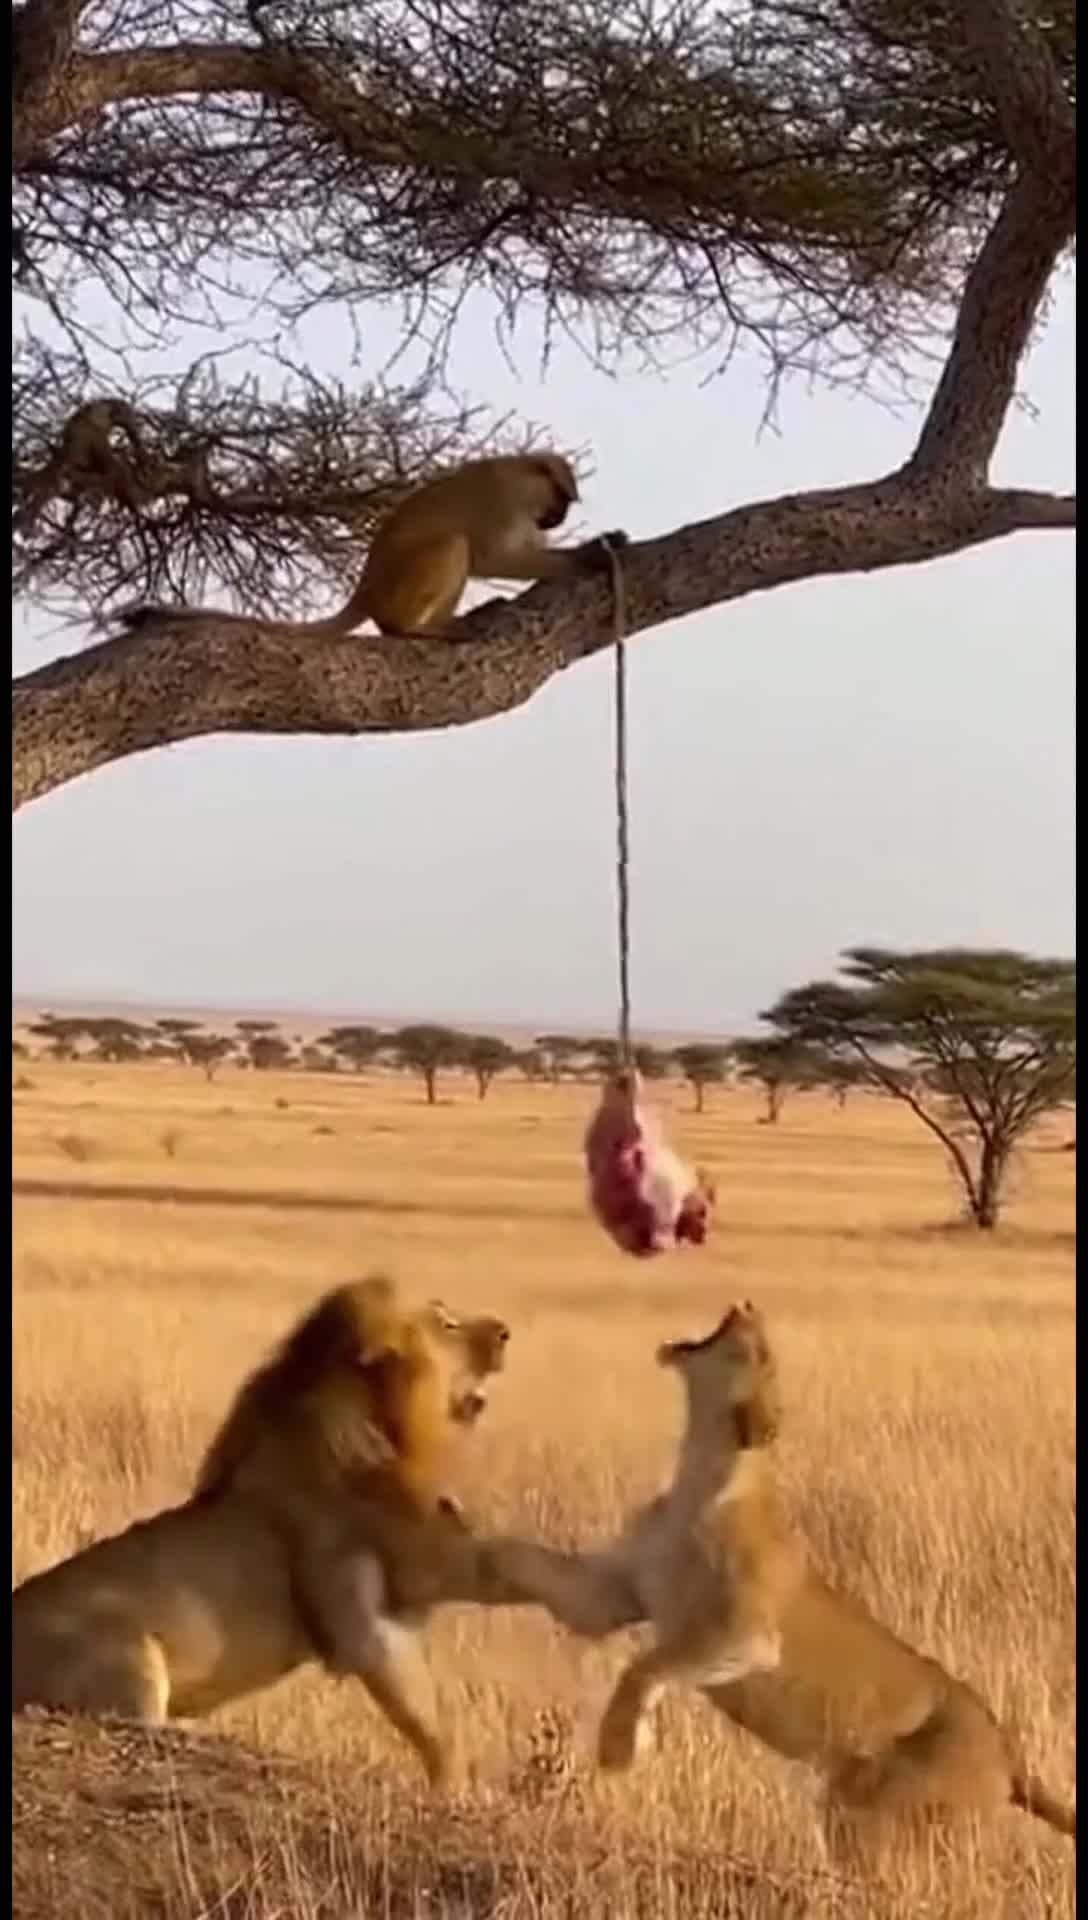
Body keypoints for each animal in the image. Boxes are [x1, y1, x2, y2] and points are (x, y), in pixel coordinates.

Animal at [12, 1276, 513, 1785]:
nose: (504, 1332)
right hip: (132, 1662)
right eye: (446, 1323)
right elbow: (427, 1720)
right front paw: (459, 1787)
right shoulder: (362, 1615)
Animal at [490, 1304, 1076, 1858]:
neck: (698, 1473)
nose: (747, 1304)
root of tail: (1008, 1750)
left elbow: (646, 1664)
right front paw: (473, 1540)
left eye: (763, 1353)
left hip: (884, 1820)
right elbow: (530, 1566)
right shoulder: (613, 1591)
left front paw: (619, 1744)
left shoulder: (747, 1633)